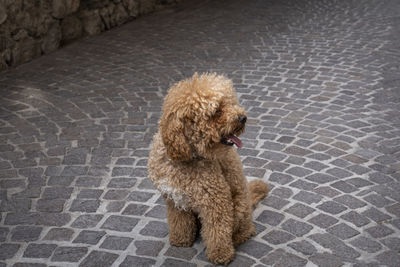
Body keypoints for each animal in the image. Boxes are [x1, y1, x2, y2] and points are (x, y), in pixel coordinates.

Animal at [148, 72, 268, 264]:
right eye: (216, 111)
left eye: (230, 103)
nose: (243, 117)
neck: (184, 157)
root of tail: (250, 200)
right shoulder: (174, 200)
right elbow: (179, 221)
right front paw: (181, 240)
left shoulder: (216, 200)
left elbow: (217, 231)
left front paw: (220, 254)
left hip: (239, 207)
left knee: (245, 229)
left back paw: (237, 238)